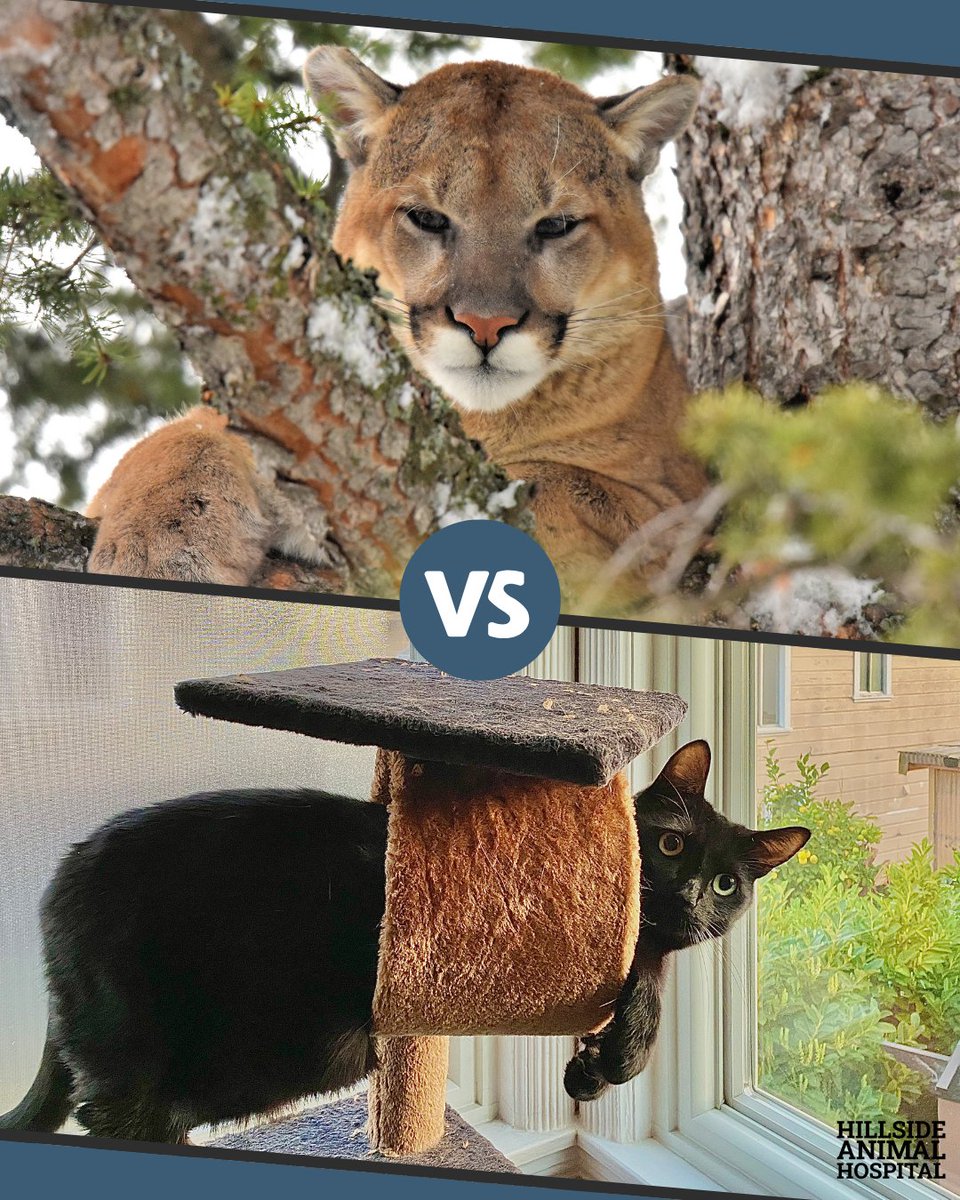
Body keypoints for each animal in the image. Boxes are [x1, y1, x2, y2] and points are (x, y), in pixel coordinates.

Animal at [87, 49, 706, 606]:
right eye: (427, 218)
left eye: (556, 225)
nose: (485, 323)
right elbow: (177, 440)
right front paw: (156, 546)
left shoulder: (678, 510)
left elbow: (550, 481)